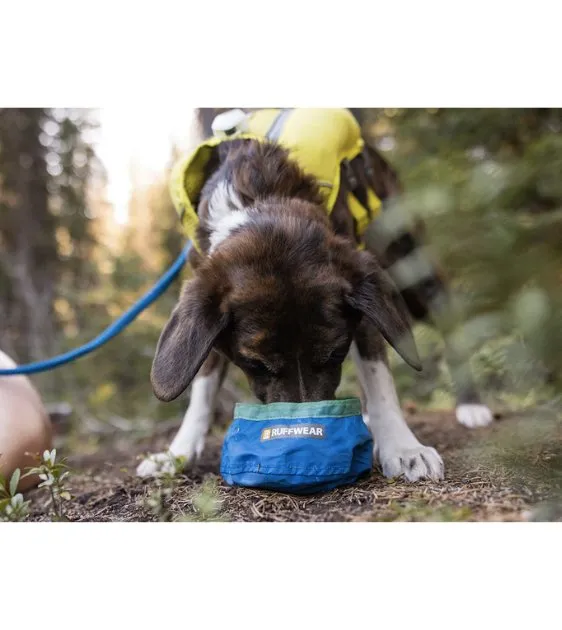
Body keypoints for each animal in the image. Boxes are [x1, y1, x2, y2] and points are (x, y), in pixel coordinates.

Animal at [137, 108, 490, 484]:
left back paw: (471, 405)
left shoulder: (363, 298)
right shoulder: (205, 306)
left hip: (413, 271)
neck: (261, 198)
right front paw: (176, 454)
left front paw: (403, 447)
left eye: (335, 353)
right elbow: (202, 387)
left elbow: (379, 380)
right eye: (255, 364)